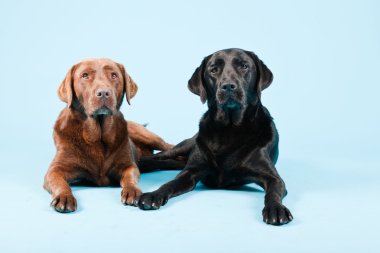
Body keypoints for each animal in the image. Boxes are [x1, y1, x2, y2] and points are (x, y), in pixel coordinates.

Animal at [138, 48, 292, 224]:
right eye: (213, 70)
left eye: (244, 66)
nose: (228, 86)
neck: (229, 130)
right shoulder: (190, 172)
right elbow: (169, 183)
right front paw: (153, 195)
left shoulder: (273, 178)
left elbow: (273, 192)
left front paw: (276, 209)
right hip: (187, 144)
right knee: (161, 156)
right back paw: (140, 162)